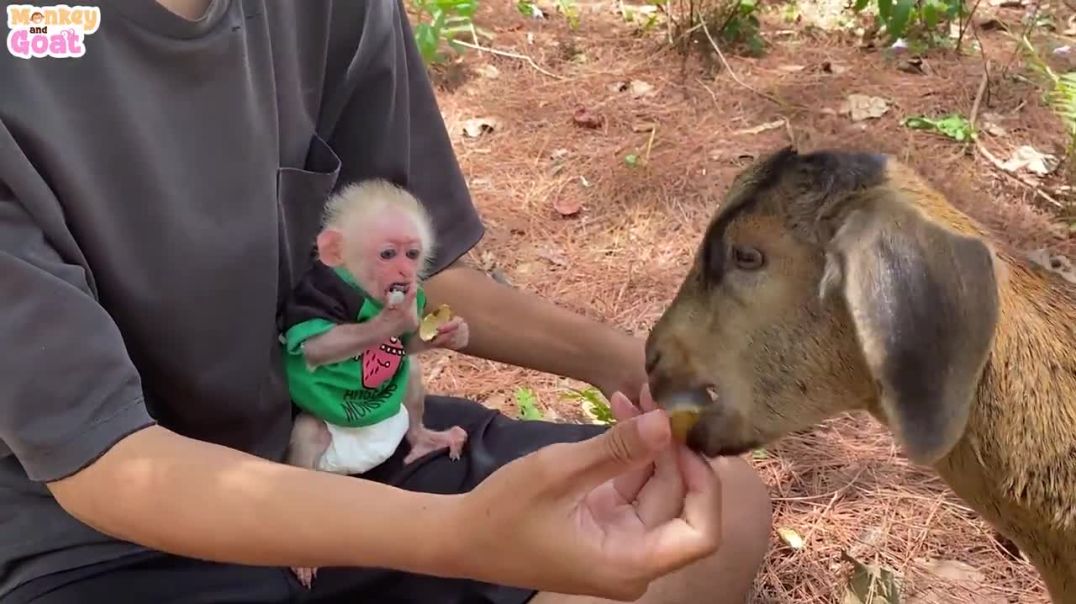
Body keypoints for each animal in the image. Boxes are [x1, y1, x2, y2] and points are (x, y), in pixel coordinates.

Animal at [277, 179, 470, 588]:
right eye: (387, 254)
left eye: (412, 253)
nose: (405, 271)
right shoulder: (318, 292)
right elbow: (318, 347)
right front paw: (389, 321)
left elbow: (411, 345)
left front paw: (453, 332)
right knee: (309, 433)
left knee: (410, 372)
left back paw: (424, 438)